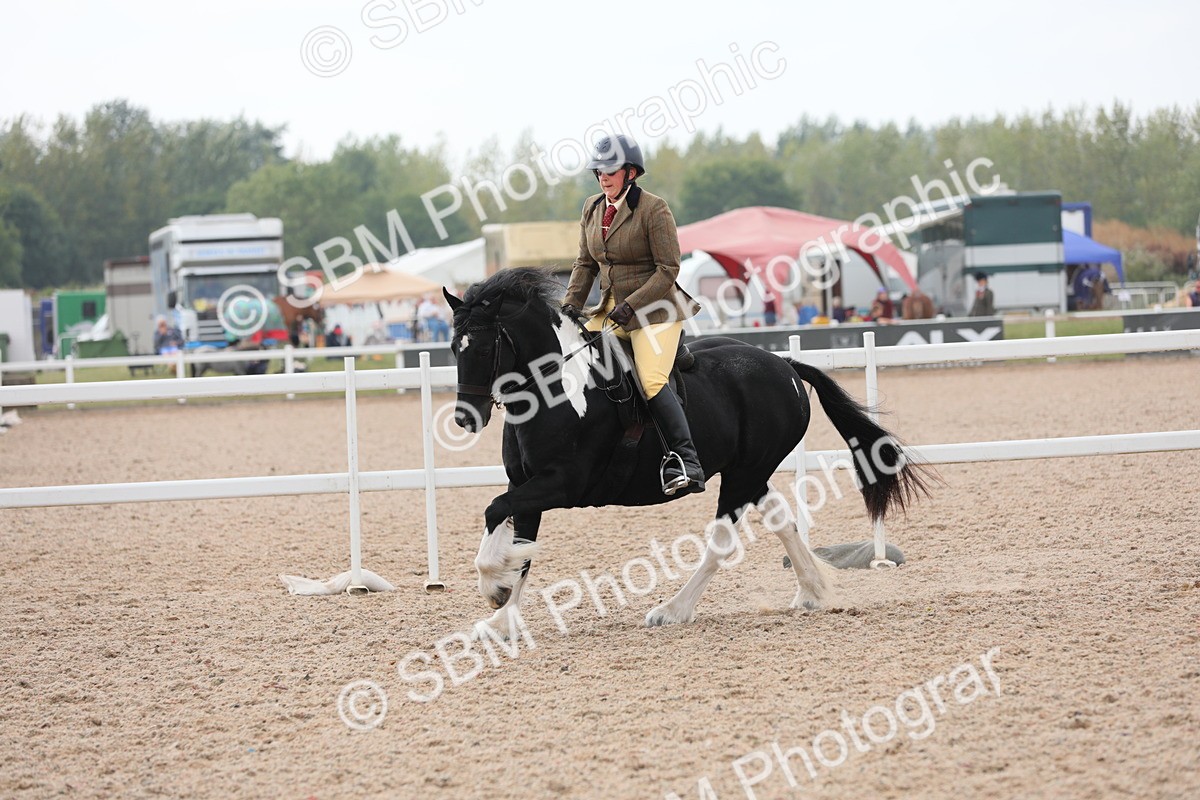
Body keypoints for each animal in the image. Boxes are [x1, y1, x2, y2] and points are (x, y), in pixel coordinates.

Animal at [444, 268, 931, 635]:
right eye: (453, 347)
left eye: (483, 346)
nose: (465, 419)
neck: (560, 389)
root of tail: (785, 367)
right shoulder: (526, 483)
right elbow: (521, 545)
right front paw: (503, 616)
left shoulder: (561, 484)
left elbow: (494, 510)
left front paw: (493, 588)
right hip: (750, 472)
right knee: (782, 521)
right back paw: (811, 592)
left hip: (742, 475)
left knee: (721, 542)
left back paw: (673, 610)